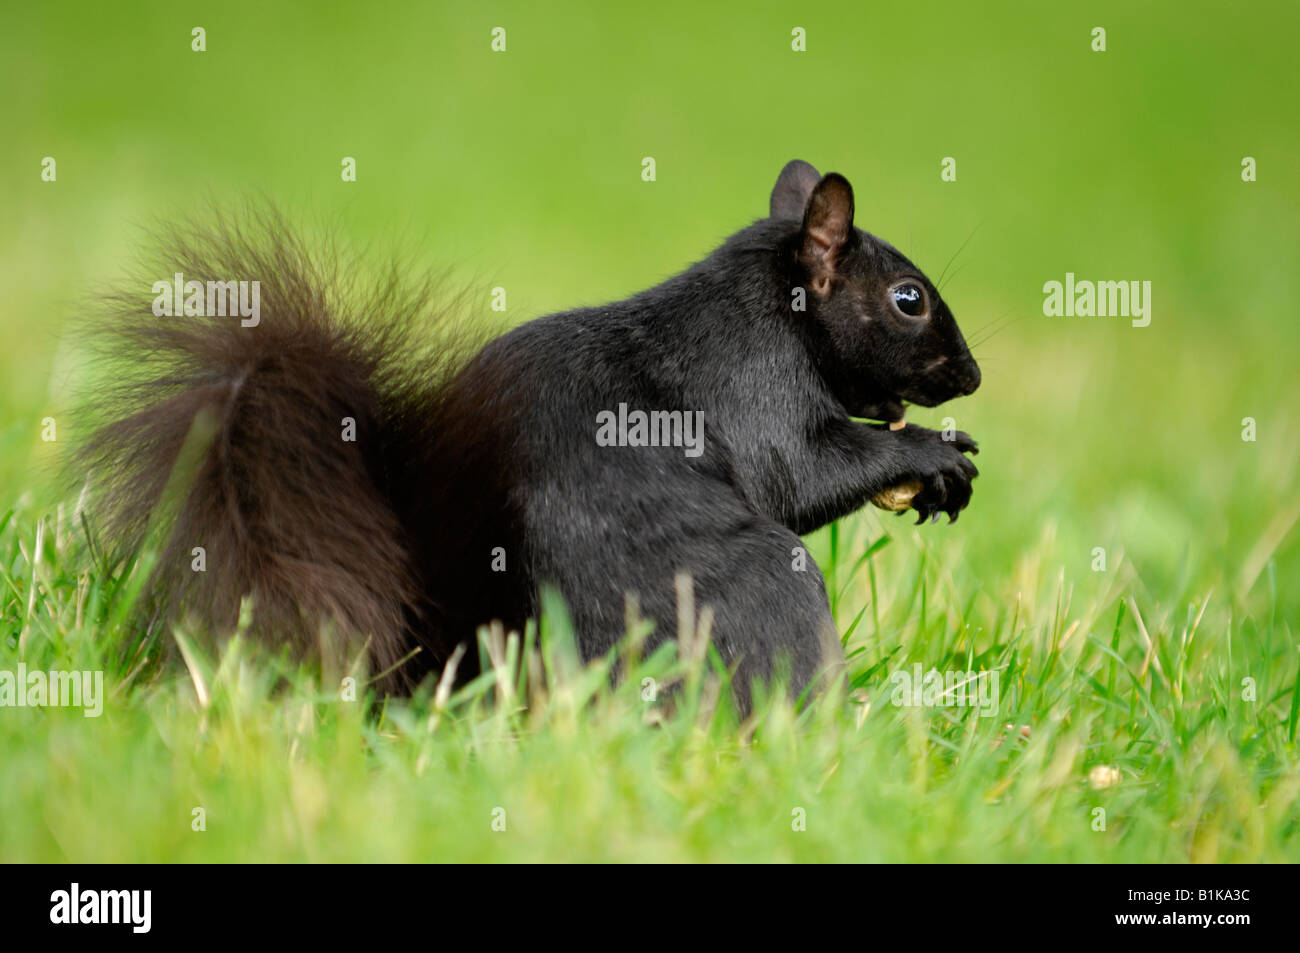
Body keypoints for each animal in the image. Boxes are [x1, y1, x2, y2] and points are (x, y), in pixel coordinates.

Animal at [76, 159, 977, 707]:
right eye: (908, 298)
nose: (970, 375)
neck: (773, 306)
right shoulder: (752, 388)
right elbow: (802, 474)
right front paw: (932, 454)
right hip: (750, 594)